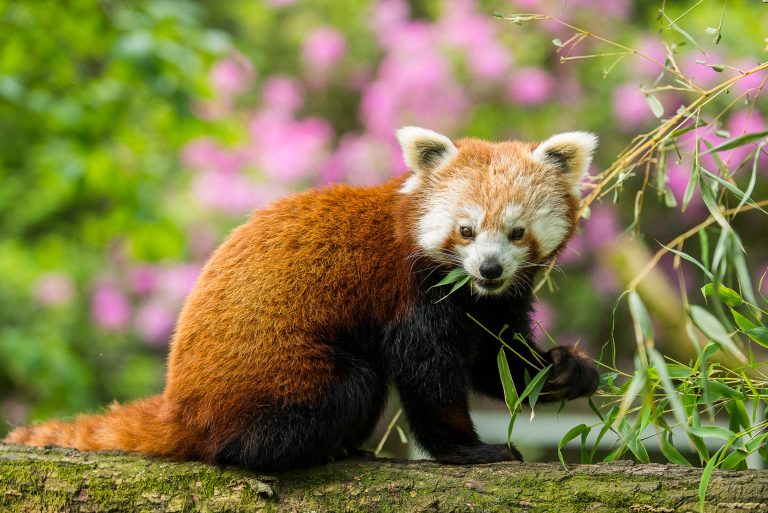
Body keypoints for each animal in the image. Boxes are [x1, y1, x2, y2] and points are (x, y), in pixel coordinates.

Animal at [4, 127, 600, 468]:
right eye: (466, 231)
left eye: (516, 233)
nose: (489, 268)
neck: (465, 289)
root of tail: (180, 404)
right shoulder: (412, 294)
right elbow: (429, 376)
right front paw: (470, 450)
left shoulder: (490, 302)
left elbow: (497, 359)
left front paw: (565, 370)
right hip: (282, 378)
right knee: (351, 387)